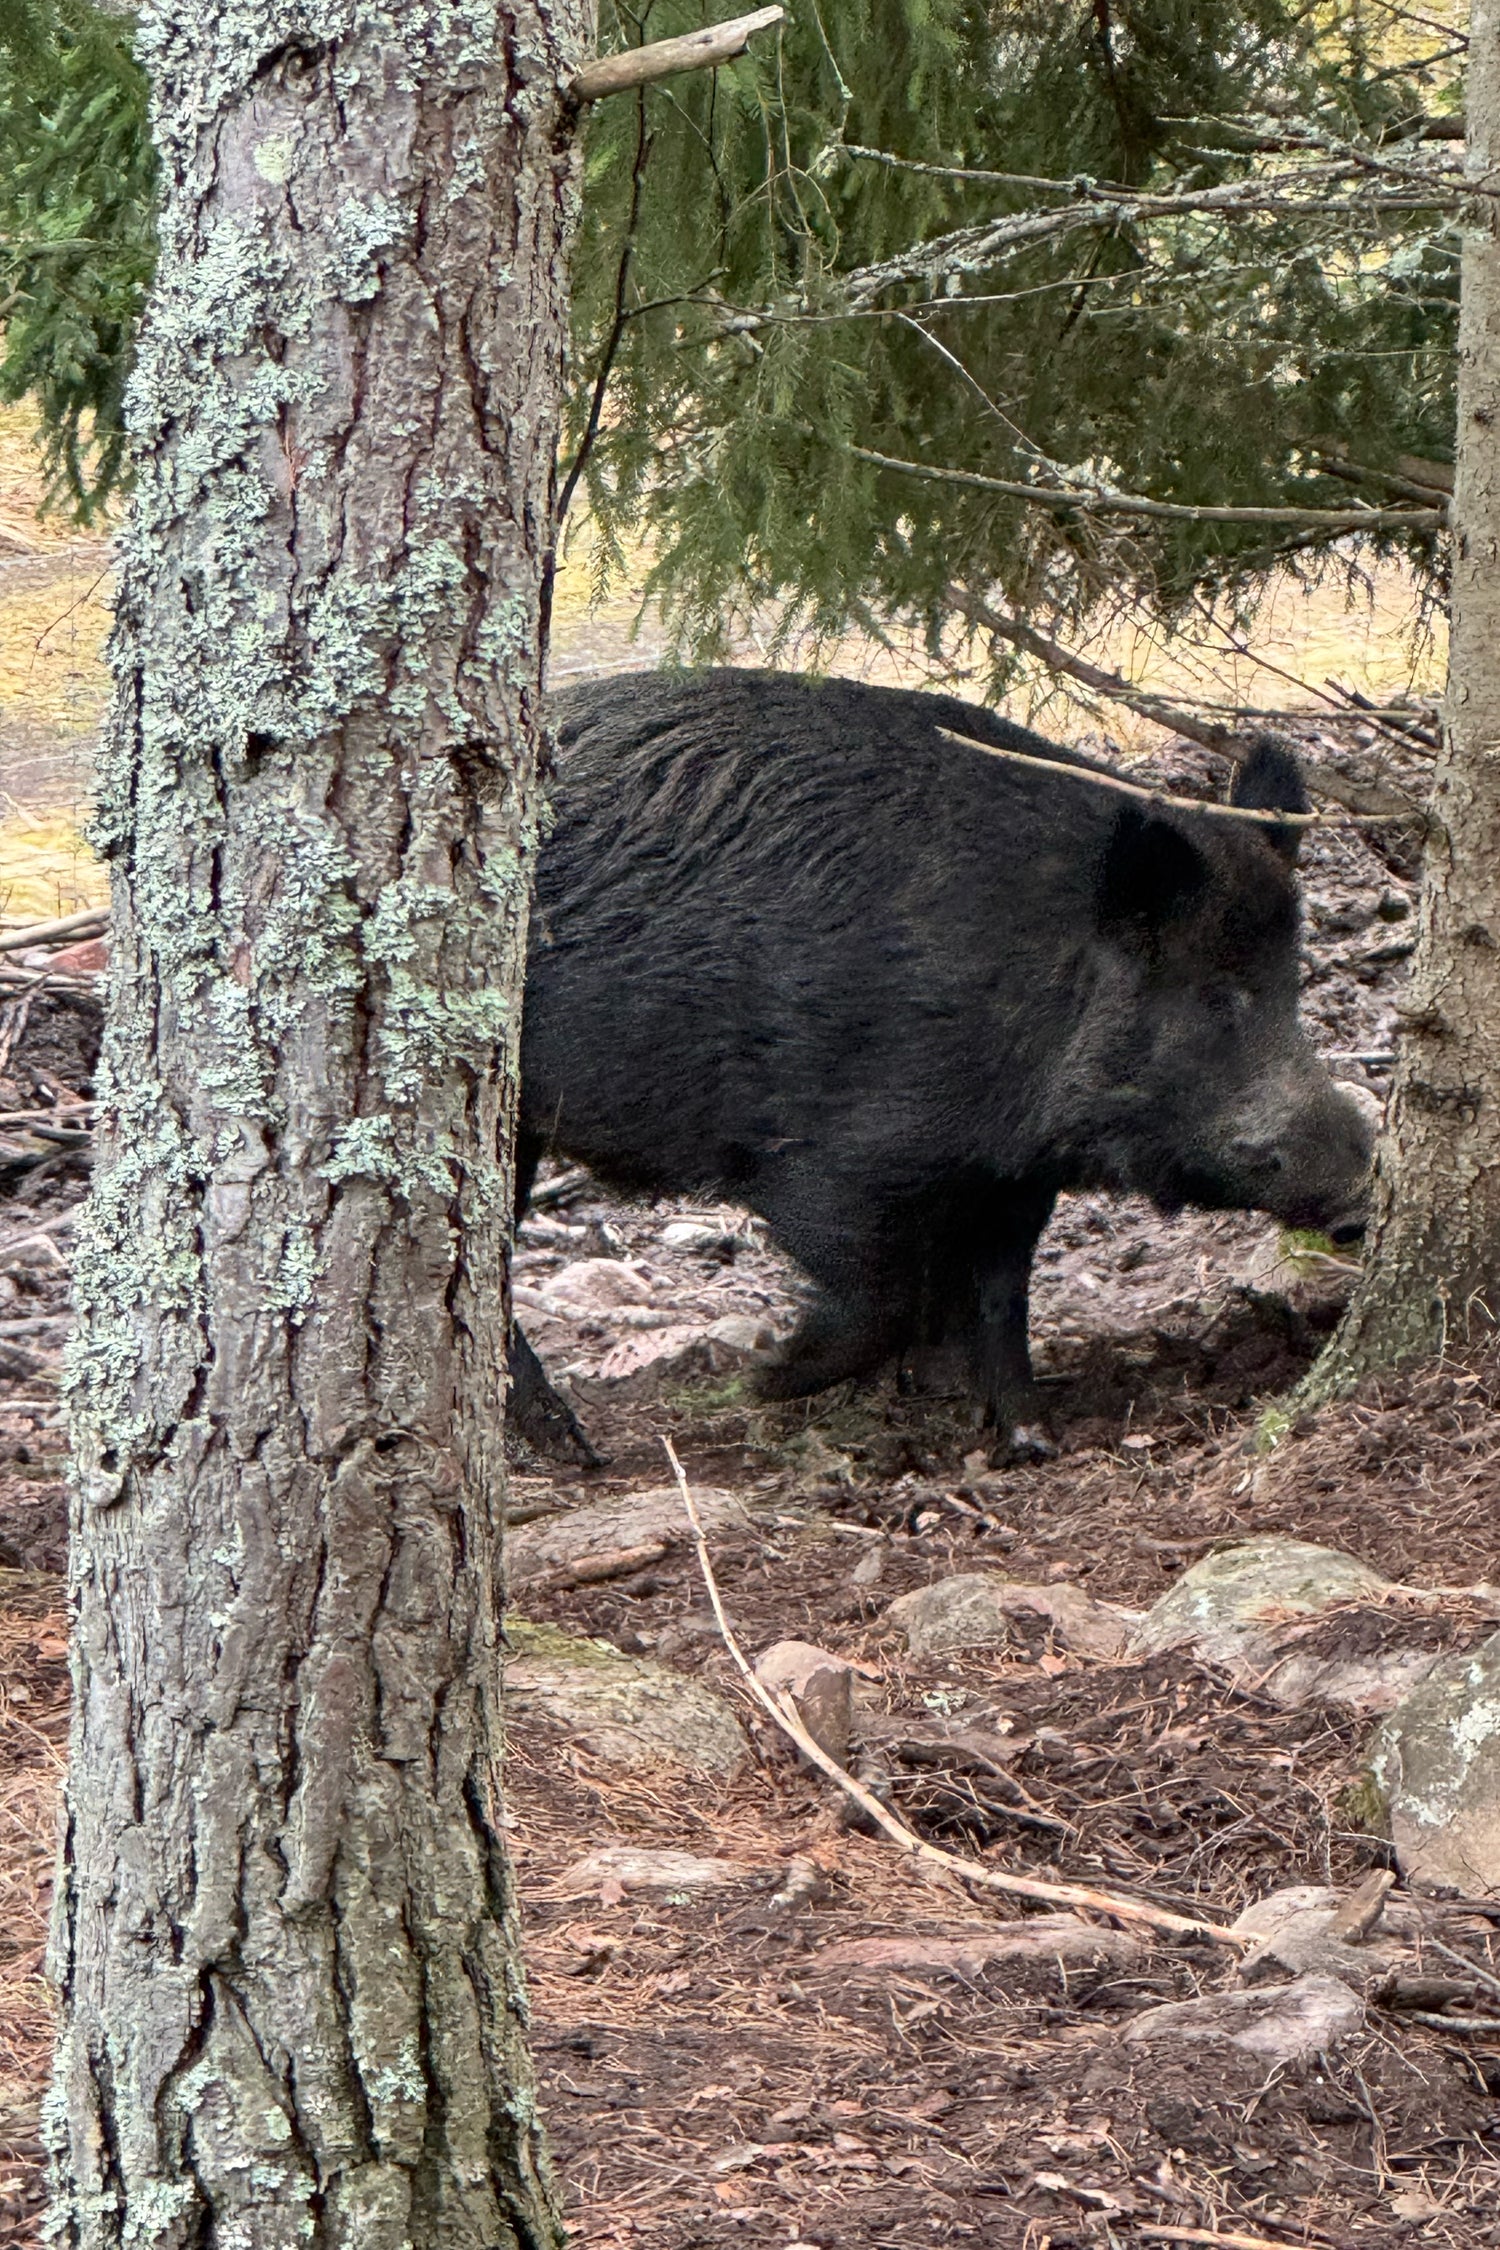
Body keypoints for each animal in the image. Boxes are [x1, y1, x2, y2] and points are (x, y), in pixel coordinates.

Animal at [512, 668, 1372, 1445]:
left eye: (1292, 982)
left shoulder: (1010, 1179)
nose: (1358, 1196)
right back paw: (570, 1444)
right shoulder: (834, 1160)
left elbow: (1001, 1295)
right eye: (1216, 996)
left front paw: (1028, 1438)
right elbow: (883, 1294)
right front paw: (766, 1375)